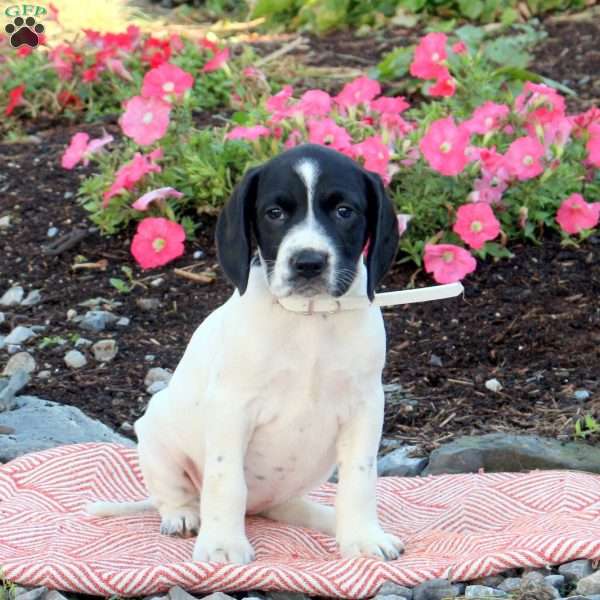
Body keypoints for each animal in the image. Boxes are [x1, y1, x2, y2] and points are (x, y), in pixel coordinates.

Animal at [88, 144, 404, 564]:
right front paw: (223, 543)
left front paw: (363, 537)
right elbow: (226, 481)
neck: (309, 319)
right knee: (175, 494)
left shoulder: (365, 406)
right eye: (274, 213)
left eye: (344, 211)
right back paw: (184, 516)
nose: (308, 262)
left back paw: (326, 519)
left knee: (284, 506)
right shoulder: (231, 407)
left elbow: (359, 477)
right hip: (156, 436)